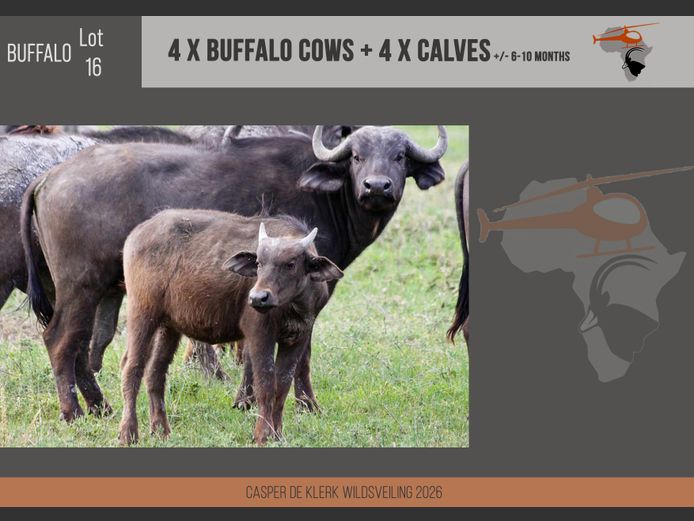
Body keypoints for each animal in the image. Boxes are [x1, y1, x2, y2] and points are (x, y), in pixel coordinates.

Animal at [21, 125, 447, 421]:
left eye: (399, 156)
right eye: (356, 156)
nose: (377, 187)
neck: (326, 198)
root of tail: (49, 177)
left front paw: (260, 401)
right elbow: (294, 353)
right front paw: (295, 404)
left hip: (91, 290)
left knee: (79, 346)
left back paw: (100, 407)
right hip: (80, 286)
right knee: (60, 340)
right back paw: (74, 412)